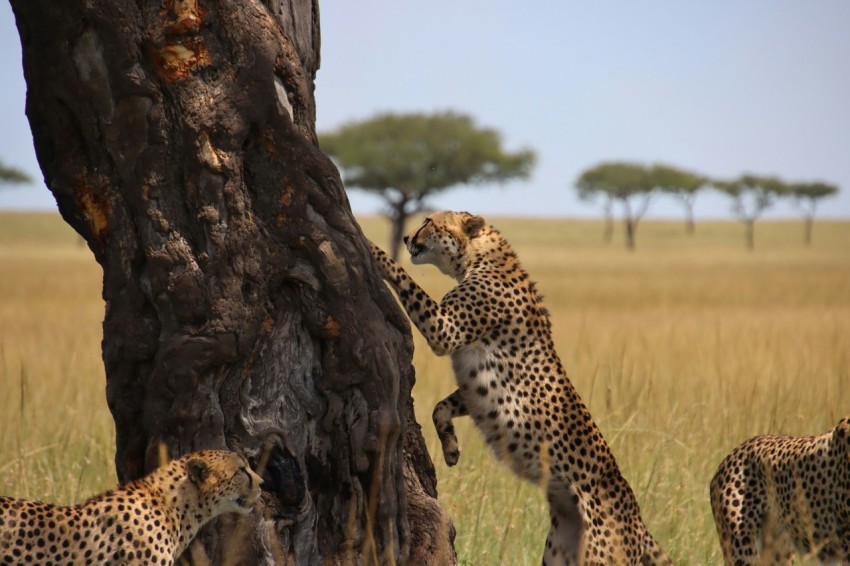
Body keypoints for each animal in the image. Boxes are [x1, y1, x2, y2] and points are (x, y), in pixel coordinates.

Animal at [370, 211, 670, 565]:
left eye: (428, 221)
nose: (406, 238)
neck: (479, 258)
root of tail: (636, 516)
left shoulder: (445, 329)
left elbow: (405, 278)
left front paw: (373, 250)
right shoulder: (475, 390)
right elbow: (440, 407)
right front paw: (452, 449)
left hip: (599, 558)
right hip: (559, 553)